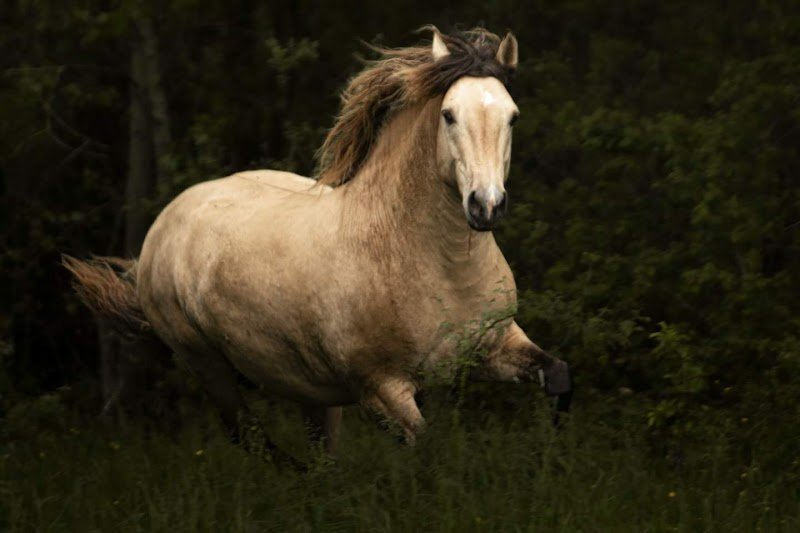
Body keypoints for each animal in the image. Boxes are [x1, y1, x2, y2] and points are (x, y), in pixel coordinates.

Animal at [64, 27, 571, 460]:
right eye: (448, 115)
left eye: (512, 116)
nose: (486, 205)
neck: (438, 267)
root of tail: (163, 225)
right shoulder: (382, 391)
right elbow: (430, 454)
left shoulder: (496, 343)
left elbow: (558, 378)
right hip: (207, 365)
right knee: (251, 439)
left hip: (311, 391)